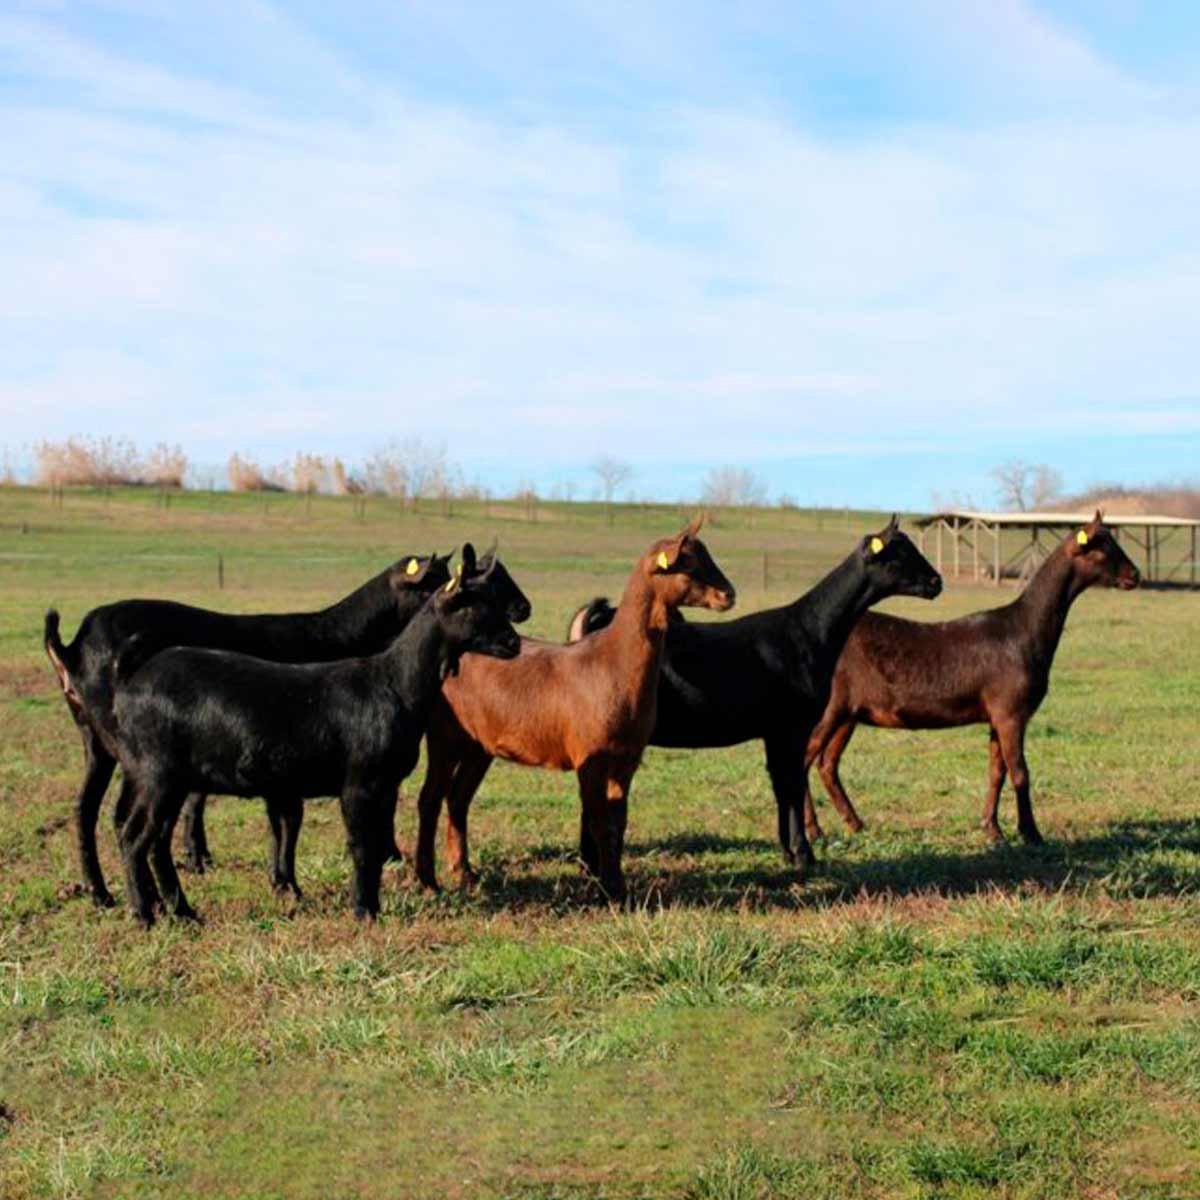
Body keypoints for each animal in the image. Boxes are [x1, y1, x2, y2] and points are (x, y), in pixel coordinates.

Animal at [44, 547, 531, 906]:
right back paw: (135, 904)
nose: (519, 624)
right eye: (469, 598)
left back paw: (136, 899)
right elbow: (319, 829)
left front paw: (289, 883)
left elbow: (299, 824)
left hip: (111, 749)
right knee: (121, 825)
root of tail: (73, 645)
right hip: (142, 762)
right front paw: (330, 893)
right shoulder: (329, 773)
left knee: (101, 814)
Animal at [414, 518, 736, 898]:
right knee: (430, 798)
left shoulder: (627, 758)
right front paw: (608, 890)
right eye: (686, 562)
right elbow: (600, 824)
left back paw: (464, 873)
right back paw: (427, 880)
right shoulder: (589, 758)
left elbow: (618, 823)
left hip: (480, 744)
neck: (611, 663)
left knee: (458, 798)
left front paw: (616, 885)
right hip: (444, 736)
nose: (728, 594)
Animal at [566, 516, 942, 870]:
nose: (937, 582)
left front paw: (789, 852)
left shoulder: (775, 731)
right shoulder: (791, 727)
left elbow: (781, 785)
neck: (808, 632)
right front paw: (805, 855)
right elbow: (791, 783)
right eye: (898, 554)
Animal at [802, 513, 1139, 845]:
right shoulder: (1011, 712)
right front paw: (1031, 833)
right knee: (805, 758)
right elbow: (1020, 772)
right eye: (1102, 548)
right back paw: (814, 830)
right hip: (830, 708)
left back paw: (854, 823)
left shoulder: (997, 716)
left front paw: (992, 829)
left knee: (827, 763)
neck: (1024, 629)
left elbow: (996, 771)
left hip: (849, 712)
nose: (1135, 575)